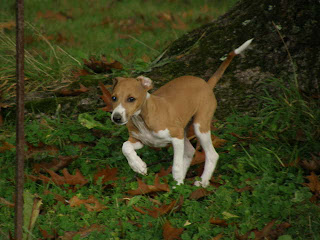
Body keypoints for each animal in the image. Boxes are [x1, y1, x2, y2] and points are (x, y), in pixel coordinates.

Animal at [110, 39, 252, 188]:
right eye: (113, 98)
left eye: (131, 99)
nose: (116, 118)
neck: (142, 119)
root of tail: (206, 84)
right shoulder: (140, 140)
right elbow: (125, 147)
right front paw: (138, 165)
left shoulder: (176, 137)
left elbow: (176, 166)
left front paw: (177, 180)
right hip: (185, 130)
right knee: (190, 152)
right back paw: (180, 184)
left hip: (199, 126)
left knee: (212, 155)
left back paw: (201, 182)